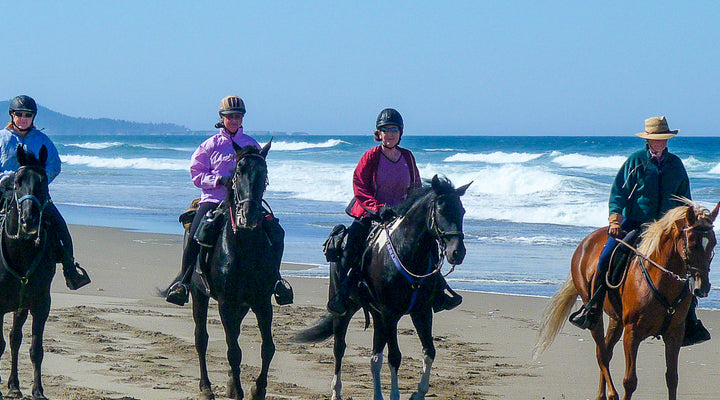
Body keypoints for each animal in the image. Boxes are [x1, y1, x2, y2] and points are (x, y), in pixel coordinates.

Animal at [188, 141, 282, 400]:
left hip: (243, 305)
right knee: (201, 339)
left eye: (264, 173)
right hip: (199, 295)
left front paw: (257, 389)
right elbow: (233, 350)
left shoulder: (261, 301)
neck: (244, 246)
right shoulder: (225, 303)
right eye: (238, 171)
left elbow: (268, 347)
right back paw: (206, 388)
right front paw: (239, 390)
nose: (249, 215)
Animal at [296, 175, 471, 400]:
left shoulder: (421, 311)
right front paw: (396, 395)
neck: (407, 252)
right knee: (339, 347)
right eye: (440, 210)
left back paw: (377, 394)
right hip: (345, 309)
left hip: (377, 315)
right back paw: (336, 391)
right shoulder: (390, 314)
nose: (457, 252)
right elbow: (395, 356)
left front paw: (419, 393)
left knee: (375, 358)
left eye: (462, 211)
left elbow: (429, 351)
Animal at [534, 199, 719, 400]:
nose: (703, 287)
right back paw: (611, 394)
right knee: (601, 354)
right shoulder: (632, 333)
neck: (661, 281)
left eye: (713, 243)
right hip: (596, 316)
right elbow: (630, 381)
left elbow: (672, 378)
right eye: (692, 243)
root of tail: (586, 241)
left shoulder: (674, 334)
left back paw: (601, 394)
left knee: (606, 350)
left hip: (616, 319)